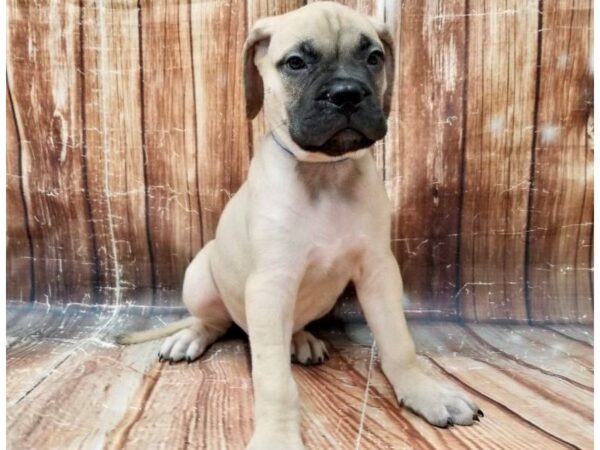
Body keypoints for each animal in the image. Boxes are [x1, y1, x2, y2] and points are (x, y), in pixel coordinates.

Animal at [117, 1, 482, 448]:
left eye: (374, 58)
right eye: (295, 63)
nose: (346, 94)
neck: (324, 174)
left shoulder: (379, 271)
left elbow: (398, 342)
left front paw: (423, 391)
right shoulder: (270, 285)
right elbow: (275, 380)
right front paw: (277, 434)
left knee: (289, 324)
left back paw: (301, 339)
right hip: (201, 278)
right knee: (214, 321)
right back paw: (192, 335)